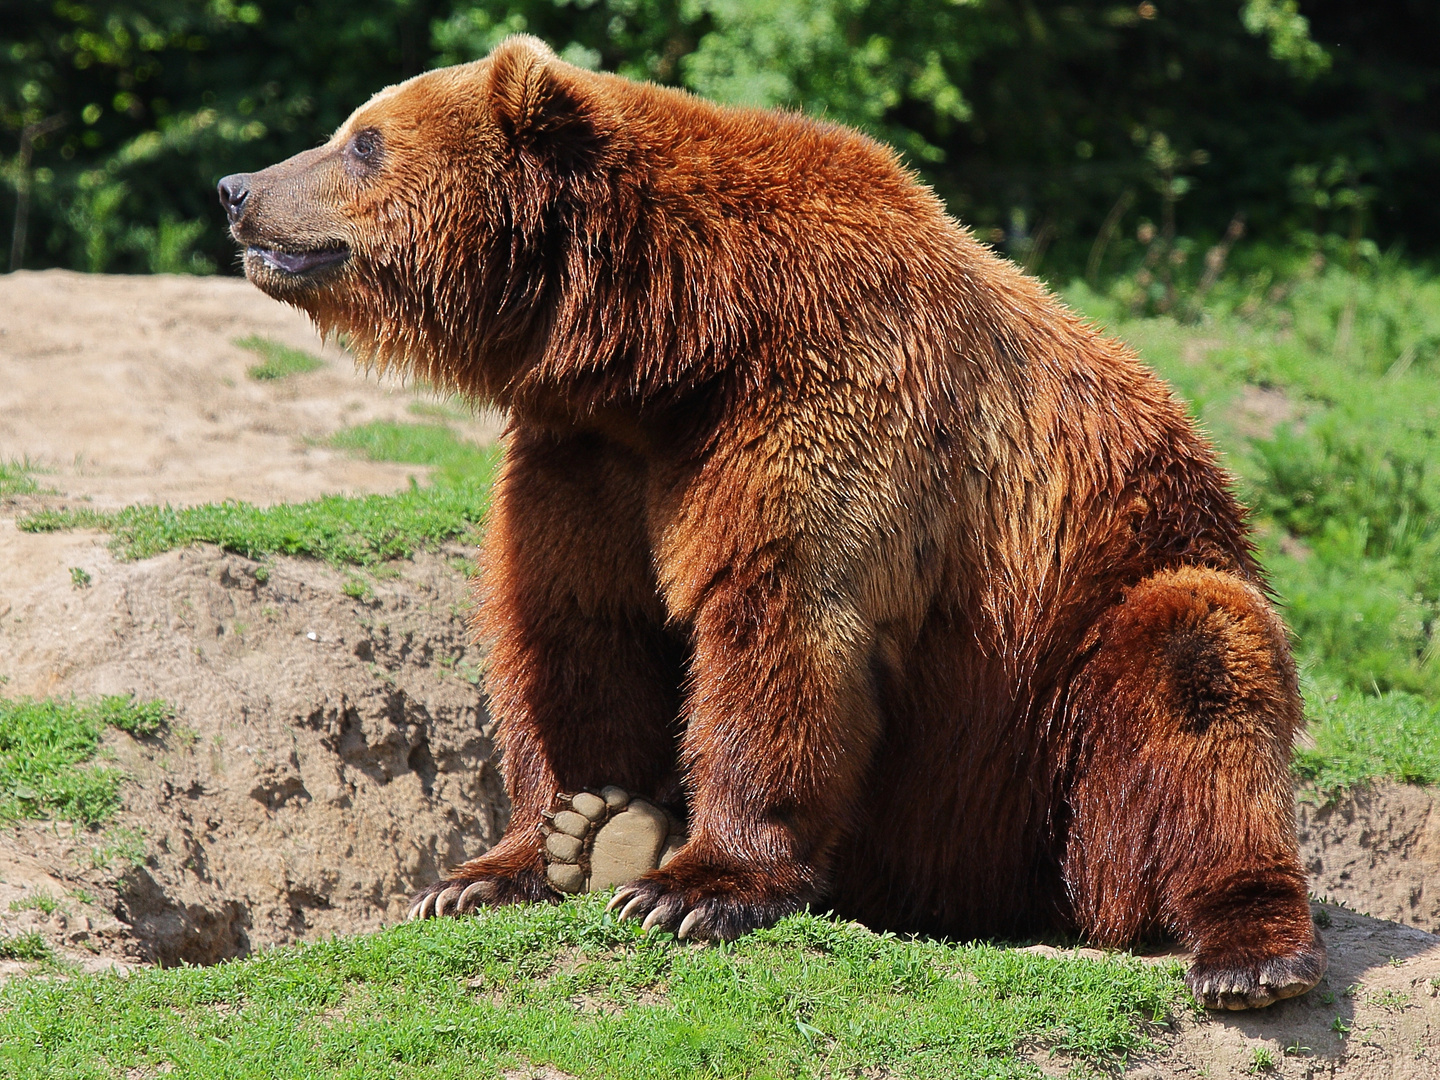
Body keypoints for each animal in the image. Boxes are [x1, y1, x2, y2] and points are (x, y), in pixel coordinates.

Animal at [221, 36, 1324, 1013]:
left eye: (363, 140)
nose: (237, 186)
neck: (674, 342)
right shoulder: (585, 457)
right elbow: (574, 630)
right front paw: (516, 856)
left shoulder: (829, 399)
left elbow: (782, 624)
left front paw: (691, 889)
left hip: (1066, 692)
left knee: (1198, 668)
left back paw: (1250, 951)